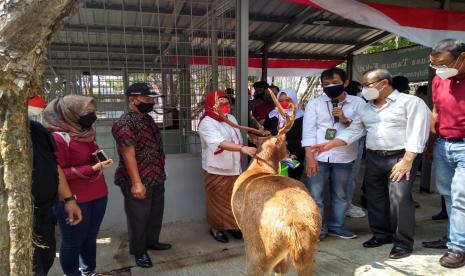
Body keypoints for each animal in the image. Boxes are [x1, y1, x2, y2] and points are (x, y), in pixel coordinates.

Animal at [216, 89, 320, 274]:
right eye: (286, 143)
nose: (291, 154)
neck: (259, 169)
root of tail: (294, 227)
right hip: (308, 253)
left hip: (259, 249)